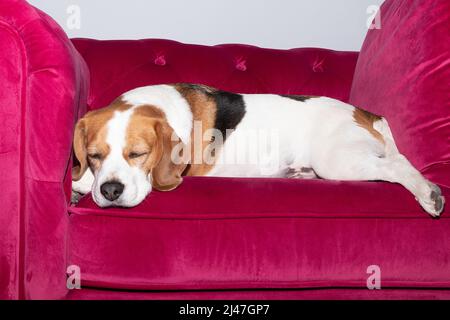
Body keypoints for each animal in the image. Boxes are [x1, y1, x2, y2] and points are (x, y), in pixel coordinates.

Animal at [72, 83, 444, 218]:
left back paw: (428, 193)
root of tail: (363, 112)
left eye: (138, 154)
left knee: (395, 166)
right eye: (94, 155)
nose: (111, 190)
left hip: (339, 163)